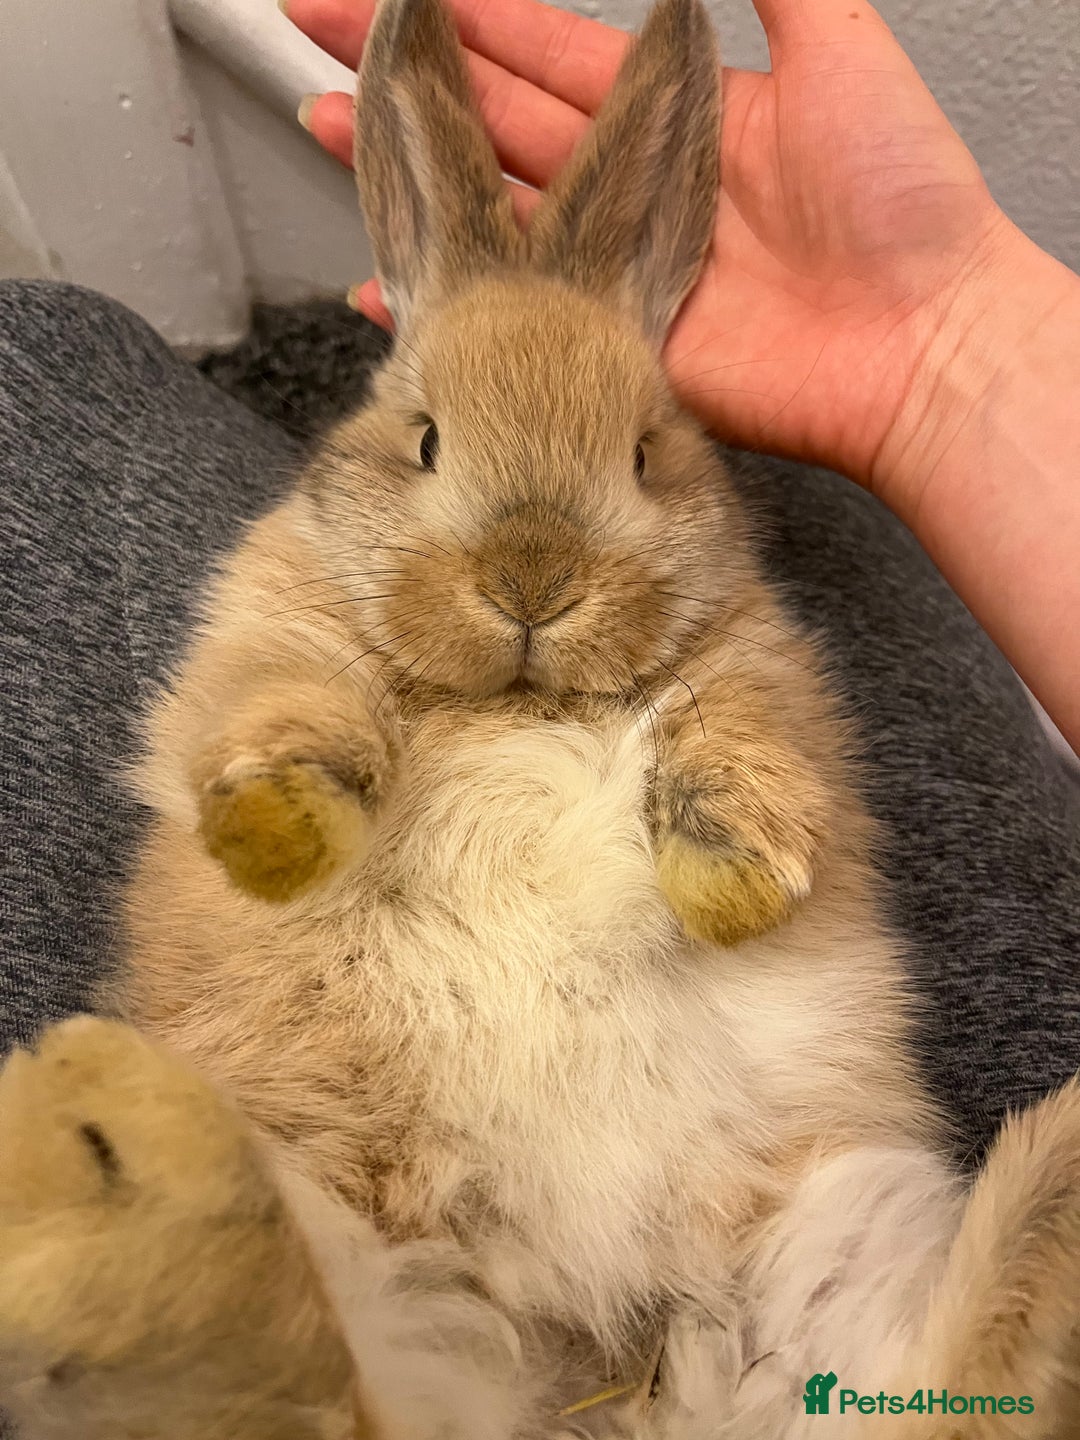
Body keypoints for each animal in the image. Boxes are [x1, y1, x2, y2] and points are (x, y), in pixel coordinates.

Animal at [1, 0, 1080, 1434]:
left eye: (645, 450)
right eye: (424, 439)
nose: (532, 580)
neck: (514, 700)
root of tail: (593, 1380)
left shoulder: (762, 676)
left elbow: (748, 749)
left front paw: (732, 880)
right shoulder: (269, 637)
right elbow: (286, 708)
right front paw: (280, 829)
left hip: (830, 1256)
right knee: (287, 1385)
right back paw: (107, 1151)